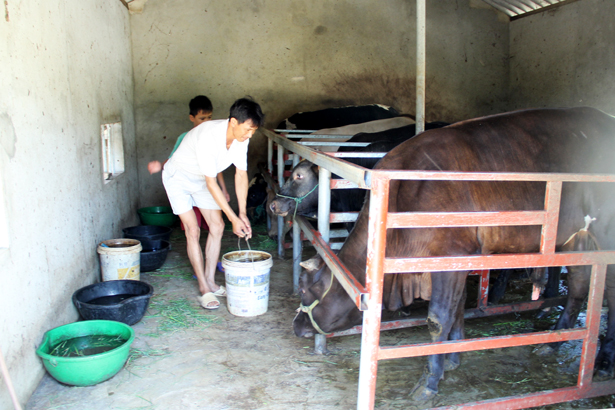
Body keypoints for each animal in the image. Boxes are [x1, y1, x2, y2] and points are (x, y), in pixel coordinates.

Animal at [286, 107, 615, 402]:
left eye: (303, 288)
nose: (297, 325)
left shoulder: (448, 258)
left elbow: (439, 319)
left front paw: (429, 383)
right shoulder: (460, 260)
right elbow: (457, 311)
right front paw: (452, 360)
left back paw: (603, 361)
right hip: (574, 238)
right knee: (579, 287)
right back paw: (555, 342)